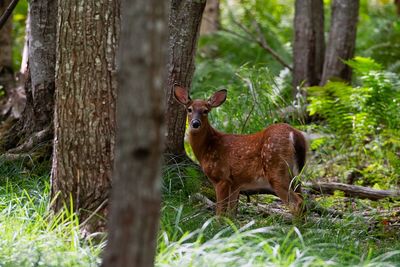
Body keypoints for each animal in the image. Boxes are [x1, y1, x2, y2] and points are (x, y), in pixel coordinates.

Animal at [173, 86, 308, 218]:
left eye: (205, 111)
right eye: (189, 109)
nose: (195, 123)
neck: (207, 148)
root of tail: (294, 134)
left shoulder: (222, 177)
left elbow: (220, 212)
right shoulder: (235, 184)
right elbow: (231, 214)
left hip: (275, 167)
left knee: (297, 203)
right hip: (295, 173)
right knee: (303, 201)